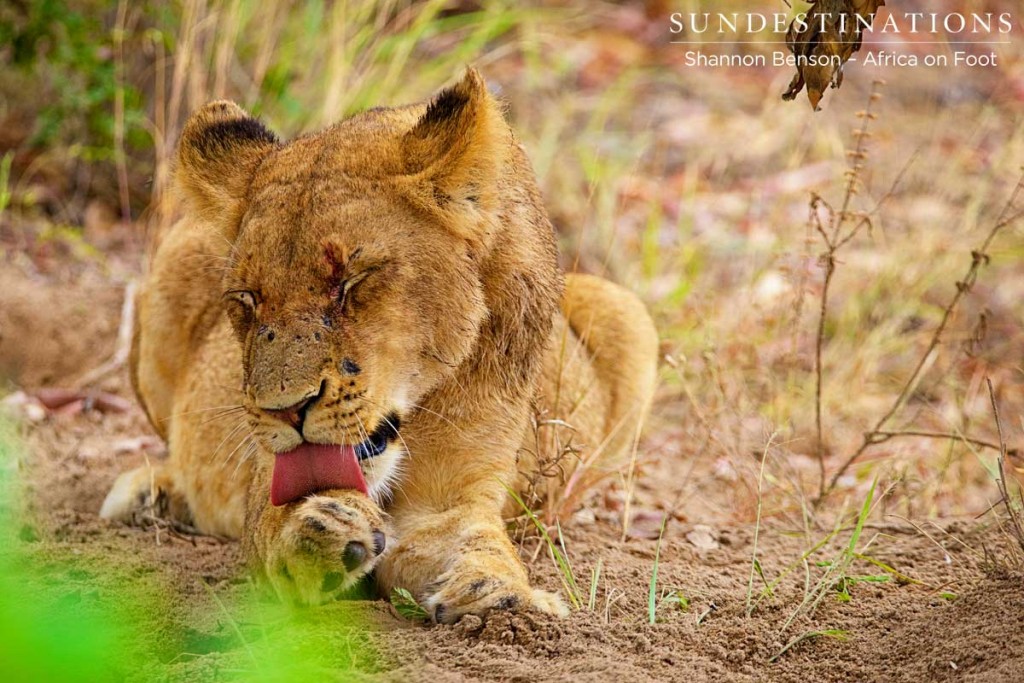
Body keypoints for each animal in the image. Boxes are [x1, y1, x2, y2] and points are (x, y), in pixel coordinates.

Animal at [101, 70, 655, 626]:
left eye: (352, 280)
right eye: (248, 299)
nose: (285, 410)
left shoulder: (452, 499)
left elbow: (479, 544)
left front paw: (503, 599)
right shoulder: (267, 477)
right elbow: (274, 518)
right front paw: (319, 530)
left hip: (626, 312)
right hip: (176, 254)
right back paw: (149, 495)